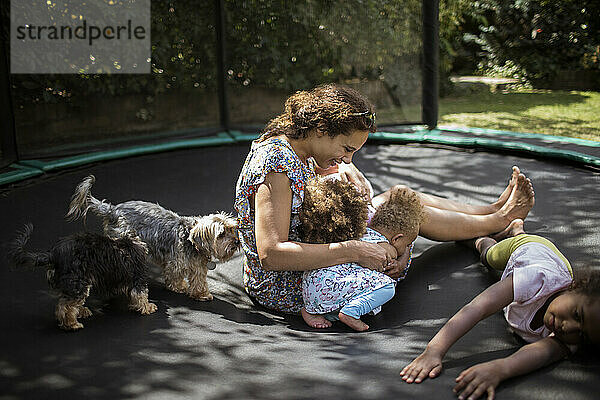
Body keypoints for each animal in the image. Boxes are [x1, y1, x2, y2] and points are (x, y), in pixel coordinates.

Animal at [7, 225, 157, 332]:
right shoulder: (137, 277)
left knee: (66, 301)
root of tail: (53, 254)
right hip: (78, 282)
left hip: (70, 284)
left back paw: (80, 312)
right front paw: (148, 307)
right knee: (65, 306)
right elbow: (141, 294)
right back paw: (72, 324)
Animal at [67, 175, 240, 300]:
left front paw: (201, 294)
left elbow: (199, 280)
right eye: (221, 234)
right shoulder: (175, 263)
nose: (237, 242)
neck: (192, 242)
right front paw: (179, 287)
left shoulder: (198, 265)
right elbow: (175, 276)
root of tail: (112, 210)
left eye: (232, 229)